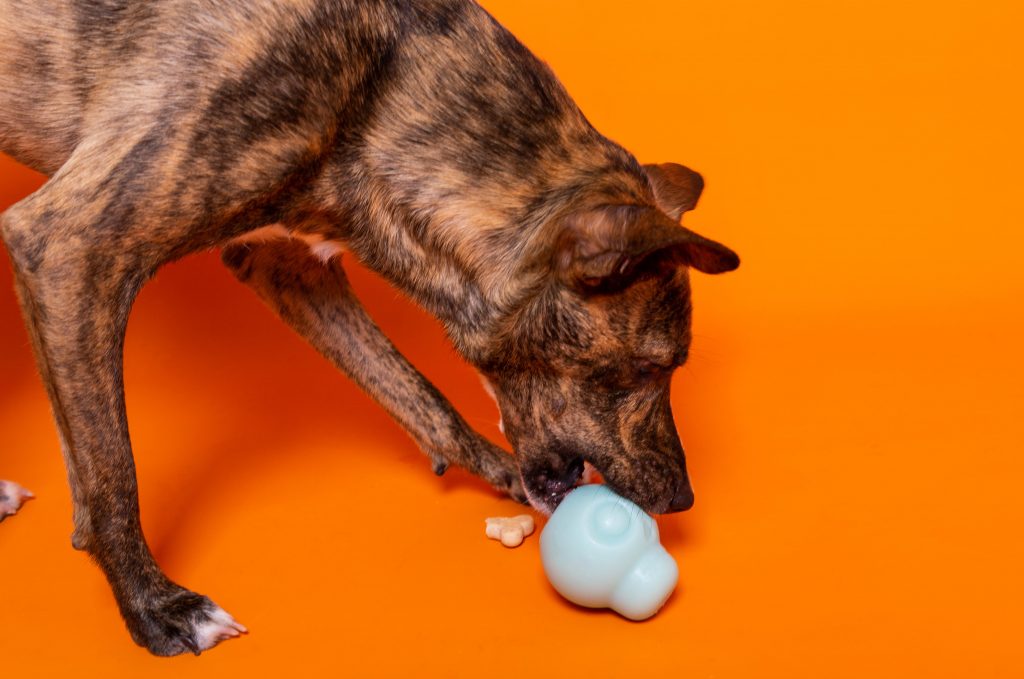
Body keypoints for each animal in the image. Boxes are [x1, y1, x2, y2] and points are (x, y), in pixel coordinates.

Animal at [0, 0, 737, 659]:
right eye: (651, 367)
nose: (681, 498)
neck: (380, 86)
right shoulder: (69, 249)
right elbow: (110, 471)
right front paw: (156, 606)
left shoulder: (286, 261)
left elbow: (411, 387)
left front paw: (493, 465)